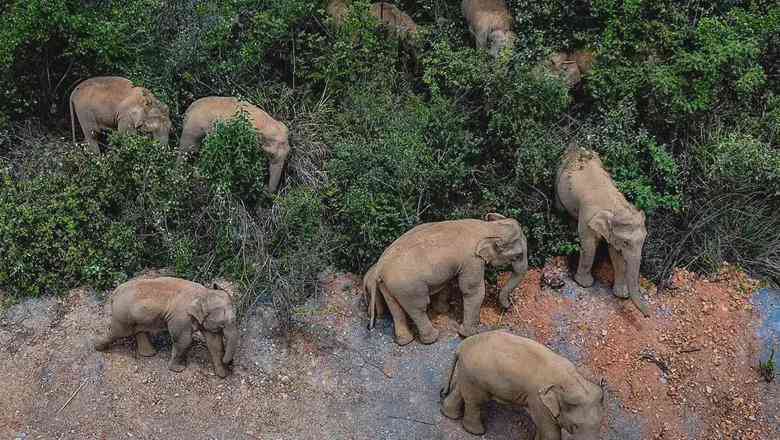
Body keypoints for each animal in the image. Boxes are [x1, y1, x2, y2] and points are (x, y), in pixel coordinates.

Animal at [93, 276, 238, 376]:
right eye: (223, 323)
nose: (230, 363)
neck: (204, 293)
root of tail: (115, 292)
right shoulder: (180, 317)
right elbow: (184, 341)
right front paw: (178, 370)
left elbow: (215, 343)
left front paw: (222, 375)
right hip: (123, 314)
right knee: (117, 332)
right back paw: (97, 347)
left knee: (138, 330)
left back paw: (149, 354)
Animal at [366, 214, 532, 348]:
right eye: (518, 255)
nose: (508, 307)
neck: (488, 228)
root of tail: (379, 267)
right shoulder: (472, 260)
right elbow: (472, 291)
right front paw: (468, 334)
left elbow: (448, 282)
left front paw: (444, 311)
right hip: (408, 287)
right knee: (418, 308)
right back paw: (432, 338)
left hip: (388, 286)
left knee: (396, 310)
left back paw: (405, 341)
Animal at [442, 330, 608, 440]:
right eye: (575, 426)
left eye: (600, 425)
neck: (571, 380)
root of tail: (462, 346)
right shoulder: (538, 401)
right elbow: (550, 431)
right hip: (476, 376)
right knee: (476, 401)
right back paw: (476, 432)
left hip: (469, 373)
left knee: (461, 391)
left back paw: (448, 414)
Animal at [556, 147, 652, 316]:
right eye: (626, 242)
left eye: (643, 240)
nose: (648, 315)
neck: (616, 207)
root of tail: (577, 147)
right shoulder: (587, 217)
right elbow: (589, 246)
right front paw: (584, 284)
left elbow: (616, 255)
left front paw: (621, 294)